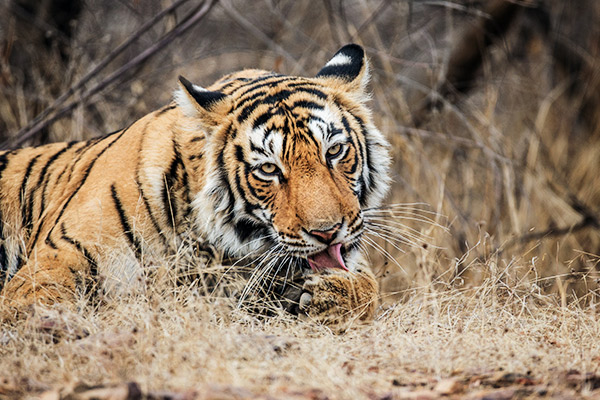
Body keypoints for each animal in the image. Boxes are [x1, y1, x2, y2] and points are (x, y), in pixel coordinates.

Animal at [0, 44, 390, 324]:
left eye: (334, 151)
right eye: (268, 169)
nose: (327, 232)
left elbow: (368, 284)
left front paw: (331, 294)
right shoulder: (57, 256)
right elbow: (36, 301)